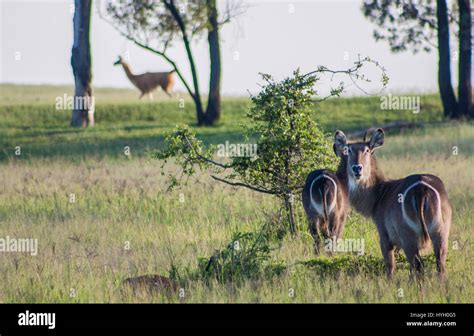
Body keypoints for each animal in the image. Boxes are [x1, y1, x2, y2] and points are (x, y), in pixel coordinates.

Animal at [334, 129, 452, 278]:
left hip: (408, 237)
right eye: (348, 150)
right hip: (441, 232)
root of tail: (421, 189)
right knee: (439, 265)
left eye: (367, 150)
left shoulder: (384, 235)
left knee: (417, 265)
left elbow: (390, 265)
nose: (357, 168)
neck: (379, 193)